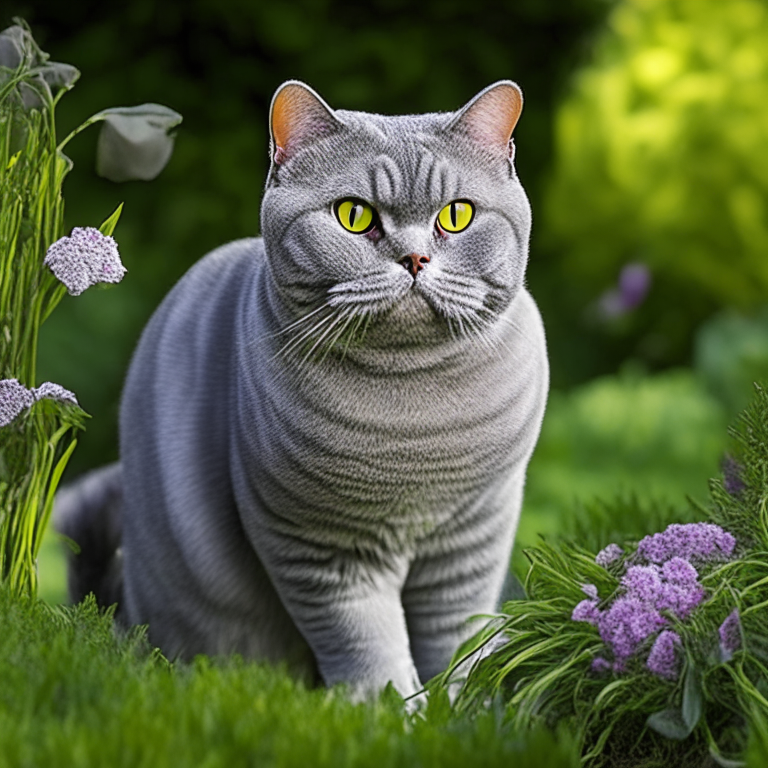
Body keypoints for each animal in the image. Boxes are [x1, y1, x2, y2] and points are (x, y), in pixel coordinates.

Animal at [55, 79, 544, 704]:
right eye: (355, 215)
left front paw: (463, 709)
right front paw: (390, 710)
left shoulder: (473, 540)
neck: (414, 433)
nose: (415, 258)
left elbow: (457, 641)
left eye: (456, 215)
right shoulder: (321, 549)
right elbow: (366, 642)